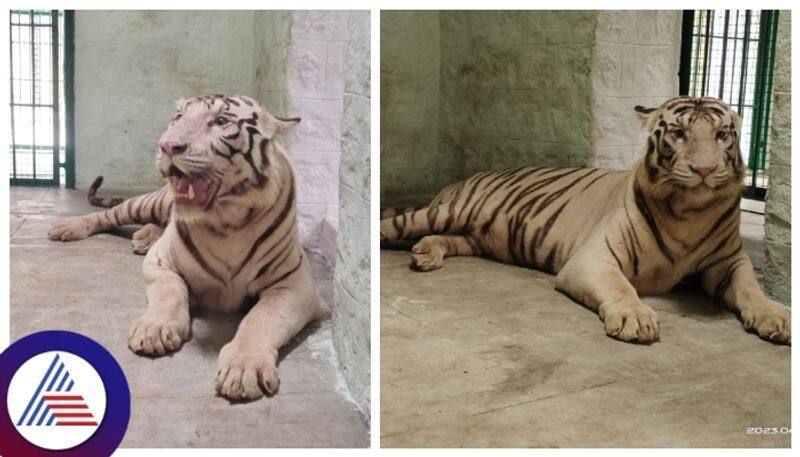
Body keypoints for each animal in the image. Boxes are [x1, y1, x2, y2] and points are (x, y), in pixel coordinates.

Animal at [49, 94, 328, 398]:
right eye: (178, 117)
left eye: (221, 121)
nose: (167, 145)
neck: (228, 221)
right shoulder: (160, 263)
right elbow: (171, 291)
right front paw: (155, 330)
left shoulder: (295, 284)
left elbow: (261, 317)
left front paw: (243, 369)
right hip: (146, 203)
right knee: (110, 214)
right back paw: (68, 227)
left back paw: (145, 236)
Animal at [382, 97, 788, 346]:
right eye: (679, 133)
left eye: (721, 135)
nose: (704, 170)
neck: (689, 212)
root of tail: (465, 179)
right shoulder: (595, 258)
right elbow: (621, 286)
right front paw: (635, 318)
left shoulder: (727, 261)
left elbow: (750, 287)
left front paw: (776, 317)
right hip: (452, 211)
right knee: (401, 223)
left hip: (476, 237)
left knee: (446, 237)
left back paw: (426, 254)